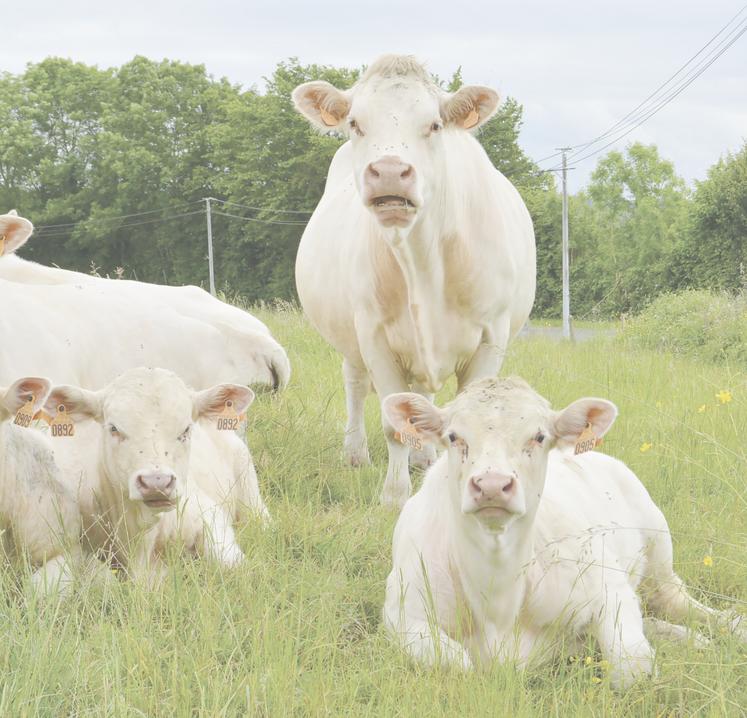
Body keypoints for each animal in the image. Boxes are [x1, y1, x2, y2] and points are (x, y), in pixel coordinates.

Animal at [294, 54, 536, 506]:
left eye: (435, 124)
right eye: (355, 123)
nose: (390, 172)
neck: (423, 262)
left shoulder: (490, 339)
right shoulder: (374, 336)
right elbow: (395, 424)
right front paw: (394, 496)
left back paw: (424, 459)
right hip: (351, 340)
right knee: (356, 386)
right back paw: (356, 453)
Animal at [382, 376, 744, 692]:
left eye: (539, 436)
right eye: (454, 436)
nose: (492, 485)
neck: (498, 595)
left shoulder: (609, 586)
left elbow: (632, 668)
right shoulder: (404, 617)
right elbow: (458, 664)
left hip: (659, 554)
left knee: (680, 601)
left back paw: (732, 628)